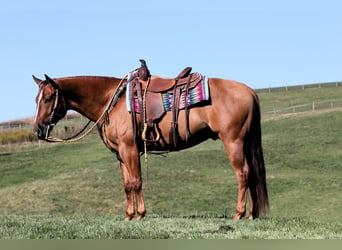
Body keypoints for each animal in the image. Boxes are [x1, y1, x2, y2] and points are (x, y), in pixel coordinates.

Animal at [32, 65, 268, 221]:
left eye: (48, 99)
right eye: (36, 100)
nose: (38, 130)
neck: (112, 100)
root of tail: (249, 91)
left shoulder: (129, 149)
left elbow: (136, 181)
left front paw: (140, 215)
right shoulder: (120, 154)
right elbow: (127, 184)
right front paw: (128, 215)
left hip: (233, 141)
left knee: (243, 174)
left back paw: (238, 214)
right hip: (245, 143)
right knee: (252, 175)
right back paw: (252, 215)